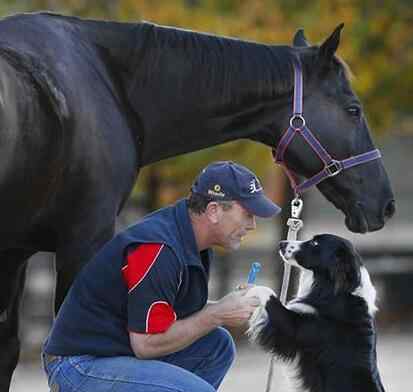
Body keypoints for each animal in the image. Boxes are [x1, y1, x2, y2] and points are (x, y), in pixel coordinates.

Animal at [0, 11, 394, 388]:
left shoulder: (15, 253)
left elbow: (8, 349)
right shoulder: (82, 239)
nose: (386, 204)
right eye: (353, 109)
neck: (110, 83)